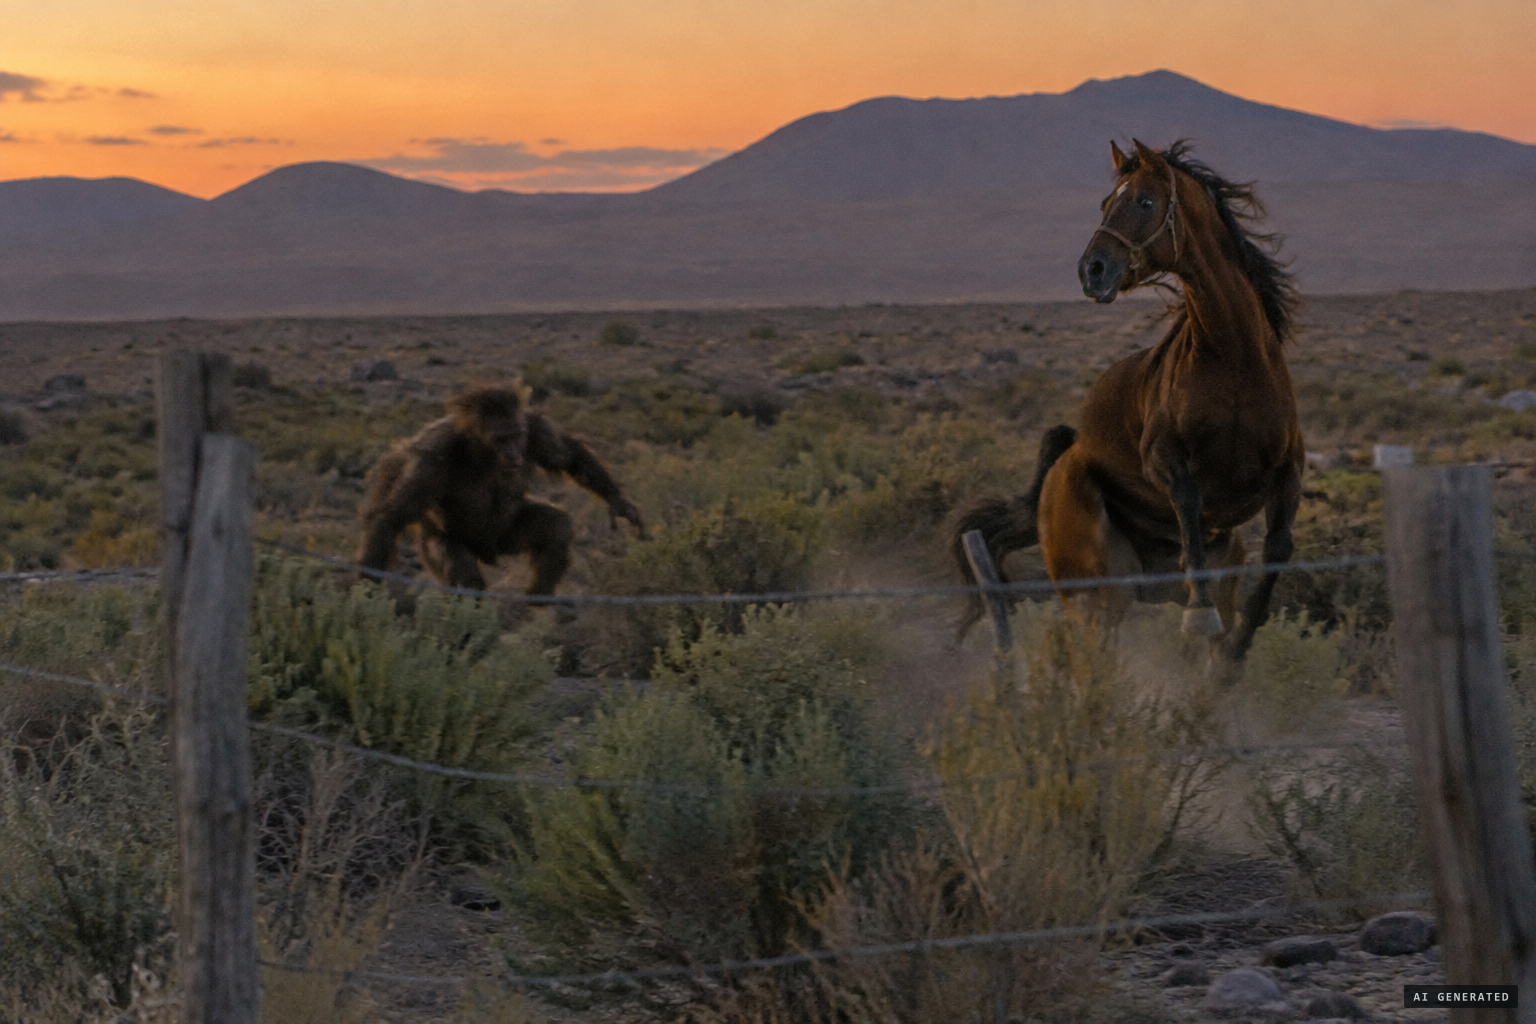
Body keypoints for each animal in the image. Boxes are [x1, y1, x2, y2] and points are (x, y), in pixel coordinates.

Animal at [953, 139, 1303, 670]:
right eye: (1104, 204)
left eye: (1144, 201)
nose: (1091, 271)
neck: (1234, 361)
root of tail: (1064, 458)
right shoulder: (1161, 460)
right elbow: (1189, 503)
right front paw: (1199, 610)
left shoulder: (1287, 469)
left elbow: (1278, 549)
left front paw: (1236, 653)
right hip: (1096, 596)